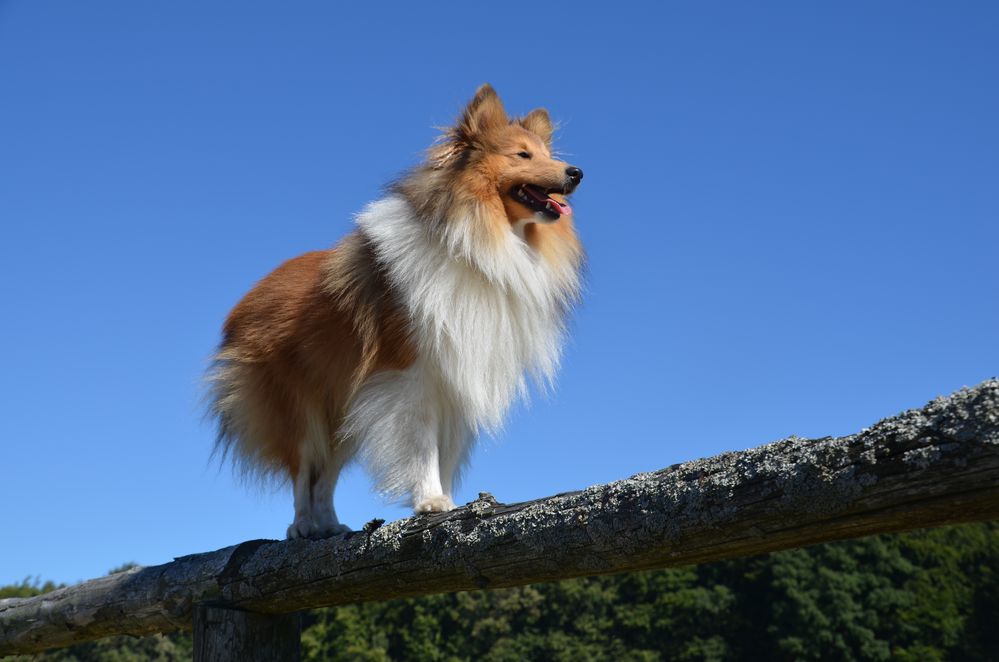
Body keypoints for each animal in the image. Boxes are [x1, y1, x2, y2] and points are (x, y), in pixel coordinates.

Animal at [211, 85, 584, 540]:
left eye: (548, 153)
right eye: (522, 155)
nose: (576, 173)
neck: (479, 241)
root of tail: (248, 297)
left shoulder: (458, 376)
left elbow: (446, 450)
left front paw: (451, 502)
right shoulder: (408, 377)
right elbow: (422, 443)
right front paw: (431, 501)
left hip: (343, 409)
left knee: (325, 475)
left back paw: (329, 525)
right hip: (299, 408)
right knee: (303, 469)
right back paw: (301, 526)